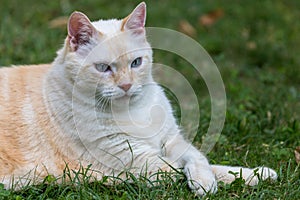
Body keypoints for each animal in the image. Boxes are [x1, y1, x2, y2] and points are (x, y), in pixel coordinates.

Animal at [0, 2, 276, 196]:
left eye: (136, 63)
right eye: (103, 68)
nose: (126, 86)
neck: (133, 110)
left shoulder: (171, 141)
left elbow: (202, 160)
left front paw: (255, 174)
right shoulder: (143, 165)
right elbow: (187, 171)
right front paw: (208, 184)